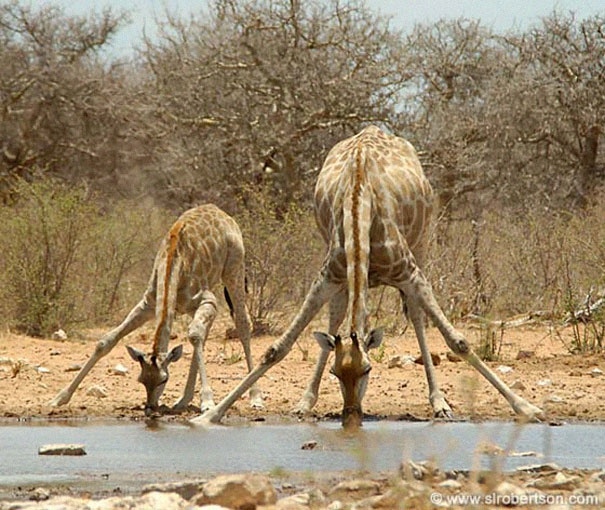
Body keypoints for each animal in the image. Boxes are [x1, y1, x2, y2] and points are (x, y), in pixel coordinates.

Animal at [47, 202, 262, 414]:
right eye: (141, 380)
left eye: (164, 380)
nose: (150, 407)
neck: (172, 269)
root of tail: (221, 212)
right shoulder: (148, 305)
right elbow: (106, 341)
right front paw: (59, 398)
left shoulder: (207, 299)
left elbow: (194, 335)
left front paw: (208, 401)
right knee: (205, 333)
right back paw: (183, 400)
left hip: (234, 267)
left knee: (242, 323)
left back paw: (255, 397)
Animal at [193, 126, 544, 426]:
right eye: (336, 373)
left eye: (367, 369)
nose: (351, 414)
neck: (360, 201)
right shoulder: (328, 275)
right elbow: (277, 348)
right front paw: (209, 416)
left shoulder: (410, 272)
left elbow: (458, 340)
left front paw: (527, 408)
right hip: (342, 274)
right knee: (337, 316)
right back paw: (306, 401)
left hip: (422, 244)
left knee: (417, 317)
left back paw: (439, 402)